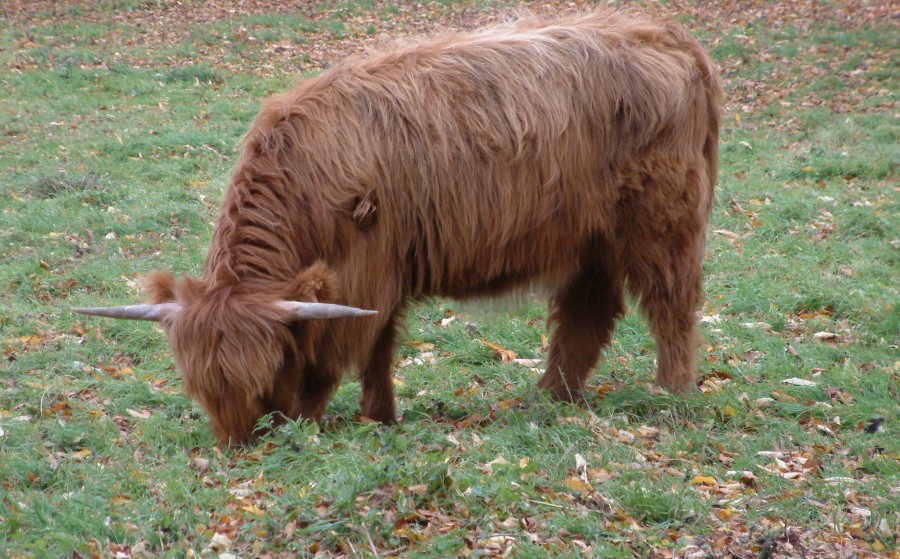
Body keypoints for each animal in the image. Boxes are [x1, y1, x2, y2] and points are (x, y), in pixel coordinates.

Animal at [77, 9, 724, 446]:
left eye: (263, 380)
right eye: (201, 389)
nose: (244, 448)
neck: (302, 176)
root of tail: (664, 34)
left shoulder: (365, 268)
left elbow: (345, 350)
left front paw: (319, 418)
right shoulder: (377, 273)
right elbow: (379, 346)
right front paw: (380, 416)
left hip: (662, 224)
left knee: (670, 305)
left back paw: (670, 393)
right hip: (591, 239)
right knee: (588, 314)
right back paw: (550, 399)